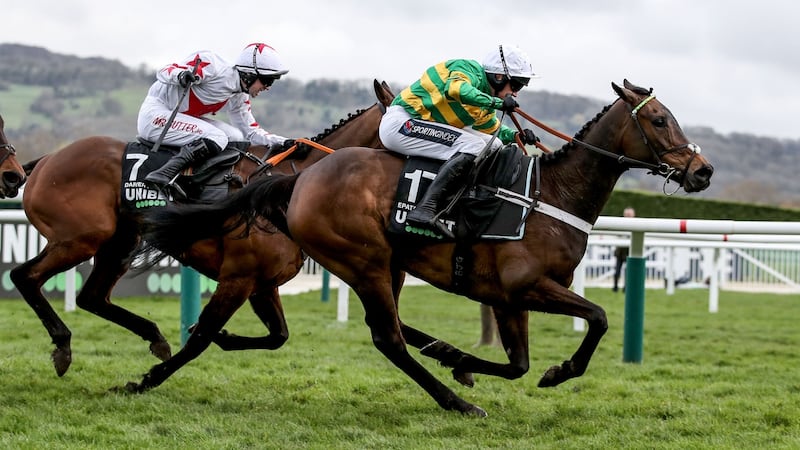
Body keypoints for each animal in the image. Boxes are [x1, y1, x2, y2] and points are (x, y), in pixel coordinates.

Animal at [12, 79, 396, 378]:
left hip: (120, 242)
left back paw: (155, 337)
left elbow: (278, 336)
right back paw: (63, 345)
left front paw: (221, 337)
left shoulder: (262, 283)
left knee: (91, 296)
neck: (289, 184)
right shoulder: (239, 277)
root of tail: (48, 159)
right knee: (25, 276)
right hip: (79, 238)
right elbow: (205, 336)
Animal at [134, 80, 716, 414]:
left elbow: (517, 364)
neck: (548, 196)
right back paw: (455, 403)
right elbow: (597, 318)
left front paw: (459, 359)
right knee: (387, 337)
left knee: (388, 329)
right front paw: (557, 372)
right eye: (659, 119)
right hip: (365, 260)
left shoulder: (508, 297)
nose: (702, 171)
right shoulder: (528, 285)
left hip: (384, 264)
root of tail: (300, 180)